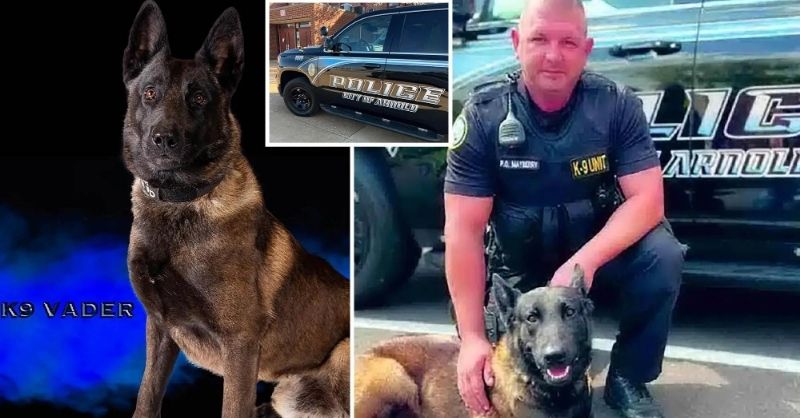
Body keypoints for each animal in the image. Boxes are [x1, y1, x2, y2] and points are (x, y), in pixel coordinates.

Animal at [122, 2, 350, 417]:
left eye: (198, 98)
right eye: (149, 93)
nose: (163, 139)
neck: (182, 203)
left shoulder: (240, 344)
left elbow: (232, 406)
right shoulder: (160, 328)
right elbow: (147, 397)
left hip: (337, 356)